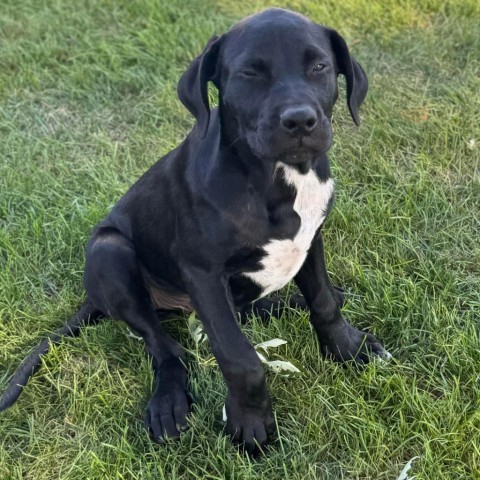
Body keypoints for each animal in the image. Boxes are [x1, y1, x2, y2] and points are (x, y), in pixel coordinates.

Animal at [0, 9, 390, 456]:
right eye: (250, 73)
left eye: (320, 66)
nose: (299, 121)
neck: (278, 179)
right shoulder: (202, 272)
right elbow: (239, 357)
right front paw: (249, 424)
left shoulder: (312, 239)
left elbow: (324, 303)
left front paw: (348, 348)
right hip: (109, 252)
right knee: (164, 346)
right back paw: (168, 401)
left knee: (244, 309)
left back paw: (283, 303)